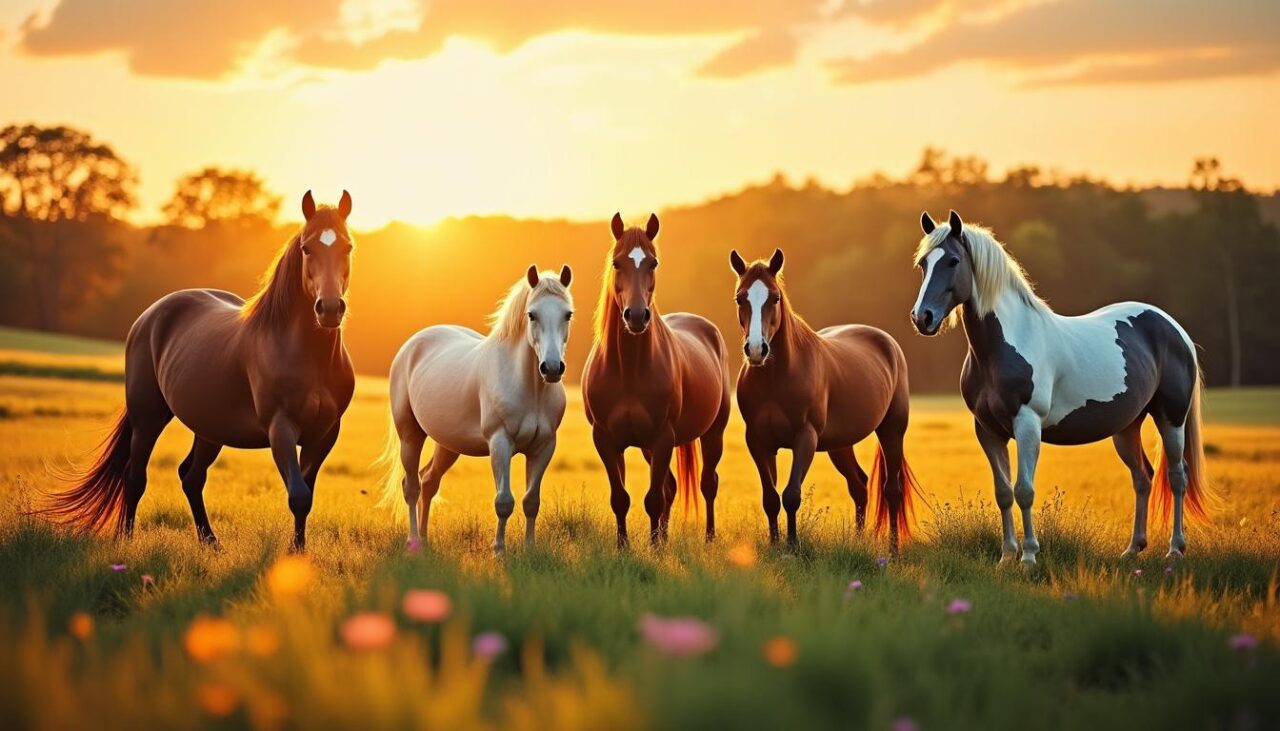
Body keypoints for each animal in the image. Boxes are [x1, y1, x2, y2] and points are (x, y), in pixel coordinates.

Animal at [44, 191, 357, 551]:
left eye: (347, 246)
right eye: (307, 248)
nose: (329, 309)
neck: (306, 355)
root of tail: (150, 316)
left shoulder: (324, 434)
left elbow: (306, 494)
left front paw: (298, 551)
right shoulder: (281, 428)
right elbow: (299, 495)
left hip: (209, 428)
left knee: (191, 477)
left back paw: (210, 542)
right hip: (148, 418)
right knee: (135, 476)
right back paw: (126, 538)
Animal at [381, 266, 575, 554]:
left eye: (567, 314)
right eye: (532, 314)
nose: (551, 368)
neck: (530, 387)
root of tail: (410, 346)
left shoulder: (543, 447)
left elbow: (531, 502)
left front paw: (530, 549)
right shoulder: (500, 442)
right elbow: (504, 501)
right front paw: (499, 550)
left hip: (448, 445)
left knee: (428, 482)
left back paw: (425, 539)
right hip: (410, 435)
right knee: (412, 487)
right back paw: (414, 541)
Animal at [583, 213, 731, 547]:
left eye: (653, 263)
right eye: (617, 263)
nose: (636, 316)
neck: (628, 371)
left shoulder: (662, 437)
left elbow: (653, 499)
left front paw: (652, 549)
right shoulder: (606, 440)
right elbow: (621, 498)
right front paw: (624, 547)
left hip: (712, 433)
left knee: (708, 483)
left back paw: (709, 538)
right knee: (671, 487)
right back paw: (663, 539)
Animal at [730, 248, 921, 552]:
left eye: (775, 298)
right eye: (740, 298)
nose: (757, 350)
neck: (775, 378)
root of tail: (887, 342)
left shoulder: (805, 437)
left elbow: (791, 495)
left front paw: (792, 548)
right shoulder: (759, 442)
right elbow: (770, 498)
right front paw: (775, 546)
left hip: (892, 431)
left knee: (892, 490)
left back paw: (893, 549)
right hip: (840, 445)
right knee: (859, 486)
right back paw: (858, 541)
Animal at [910, 210, 1211, 564]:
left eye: (953, 261)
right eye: (923, 263)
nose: (922, 318)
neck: (1002, 347)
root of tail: (1173, 328)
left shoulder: (1027, 424)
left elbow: (1024, 490)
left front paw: (1028, 557)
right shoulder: (987, 430)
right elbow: (1003, 492)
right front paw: (1006, 557)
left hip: (1171, 418)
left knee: (1177, 477)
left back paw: (1175, 550)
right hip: (1127, 427)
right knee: (1143, 478)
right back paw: (1132, 549)